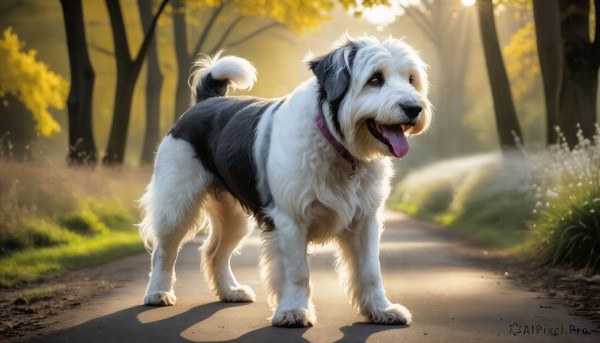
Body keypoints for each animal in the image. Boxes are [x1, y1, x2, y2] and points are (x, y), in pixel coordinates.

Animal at [139, 35, 432, 328]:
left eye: (411, 79)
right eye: (375, 79)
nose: (414, 108)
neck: (336, 146)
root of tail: (205, 102)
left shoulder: (366, 221)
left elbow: (370, 271)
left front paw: (382, 309)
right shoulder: (290, 220)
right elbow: (297, 272)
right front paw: (293, 310)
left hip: (233, 217)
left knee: (214, 252)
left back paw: (230, 290)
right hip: (177, 205)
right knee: (163, 250)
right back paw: (158, 293)